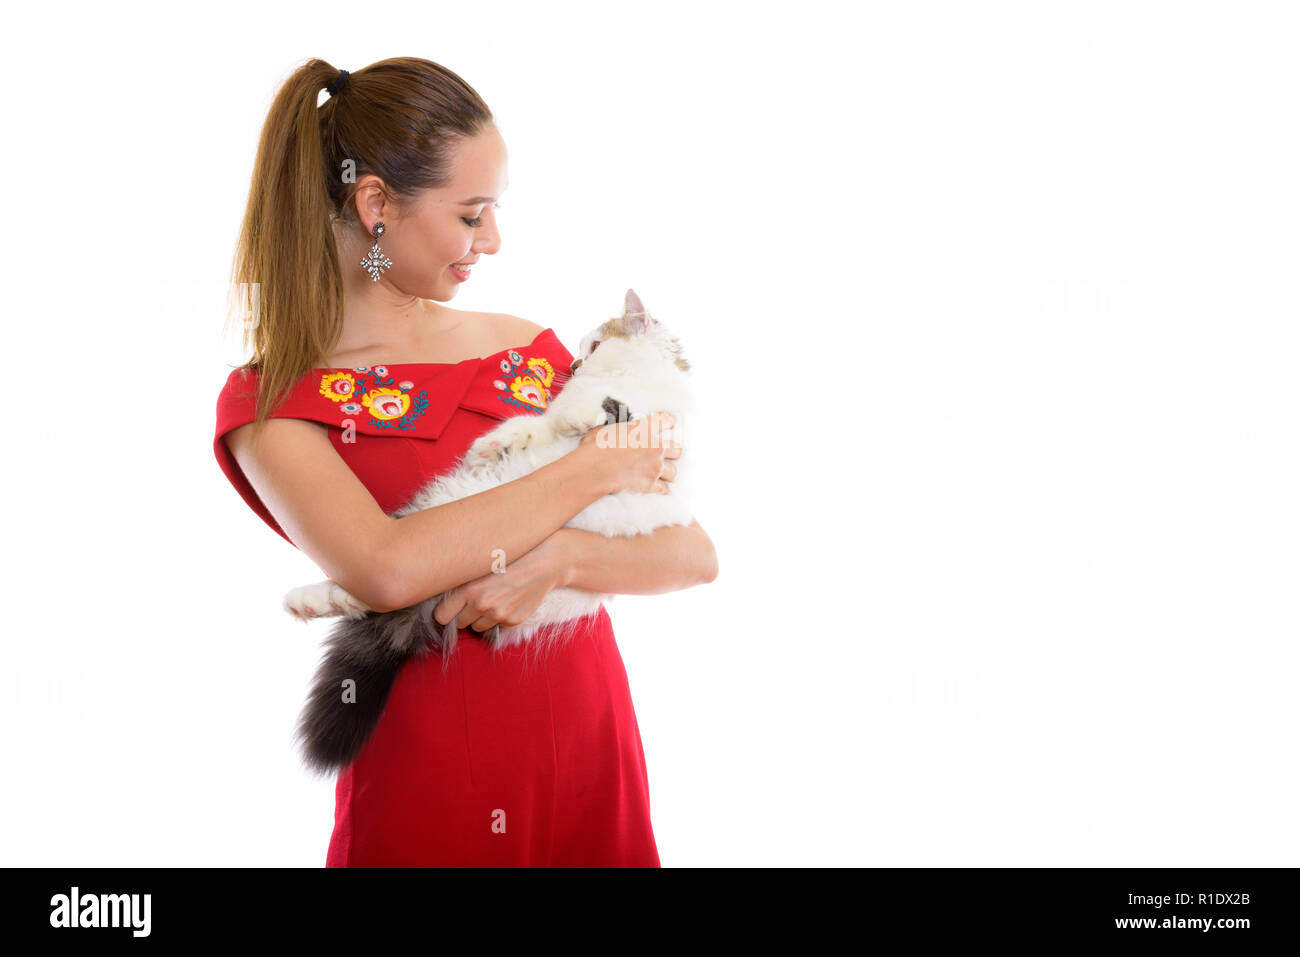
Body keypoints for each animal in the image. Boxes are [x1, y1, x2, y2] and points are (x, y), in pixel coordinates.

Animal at [280, 289, 696, 780]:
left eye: (593, 346)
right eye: (580, 351)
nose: (575, 365)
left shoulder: (646, 432)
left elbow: (603, 412)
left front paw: (579, 416)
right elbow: (532, 425)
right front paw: (494, 445)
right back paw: (302, 602)